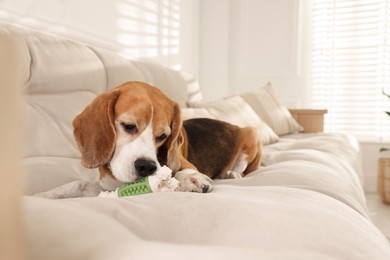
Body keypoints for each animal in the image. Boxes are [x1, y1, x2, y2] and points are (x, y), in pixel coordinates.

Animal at [35, 82, 262, 198]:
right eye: (128, 126)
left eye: (163, 136)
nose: (146, 167)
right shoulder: (106, 185)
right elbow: (76, 185)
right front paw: (43, 196)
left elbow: (181, 170)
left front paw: (190, 178)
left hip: (251, 134)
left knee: (242, 167)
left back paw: (231, 173)